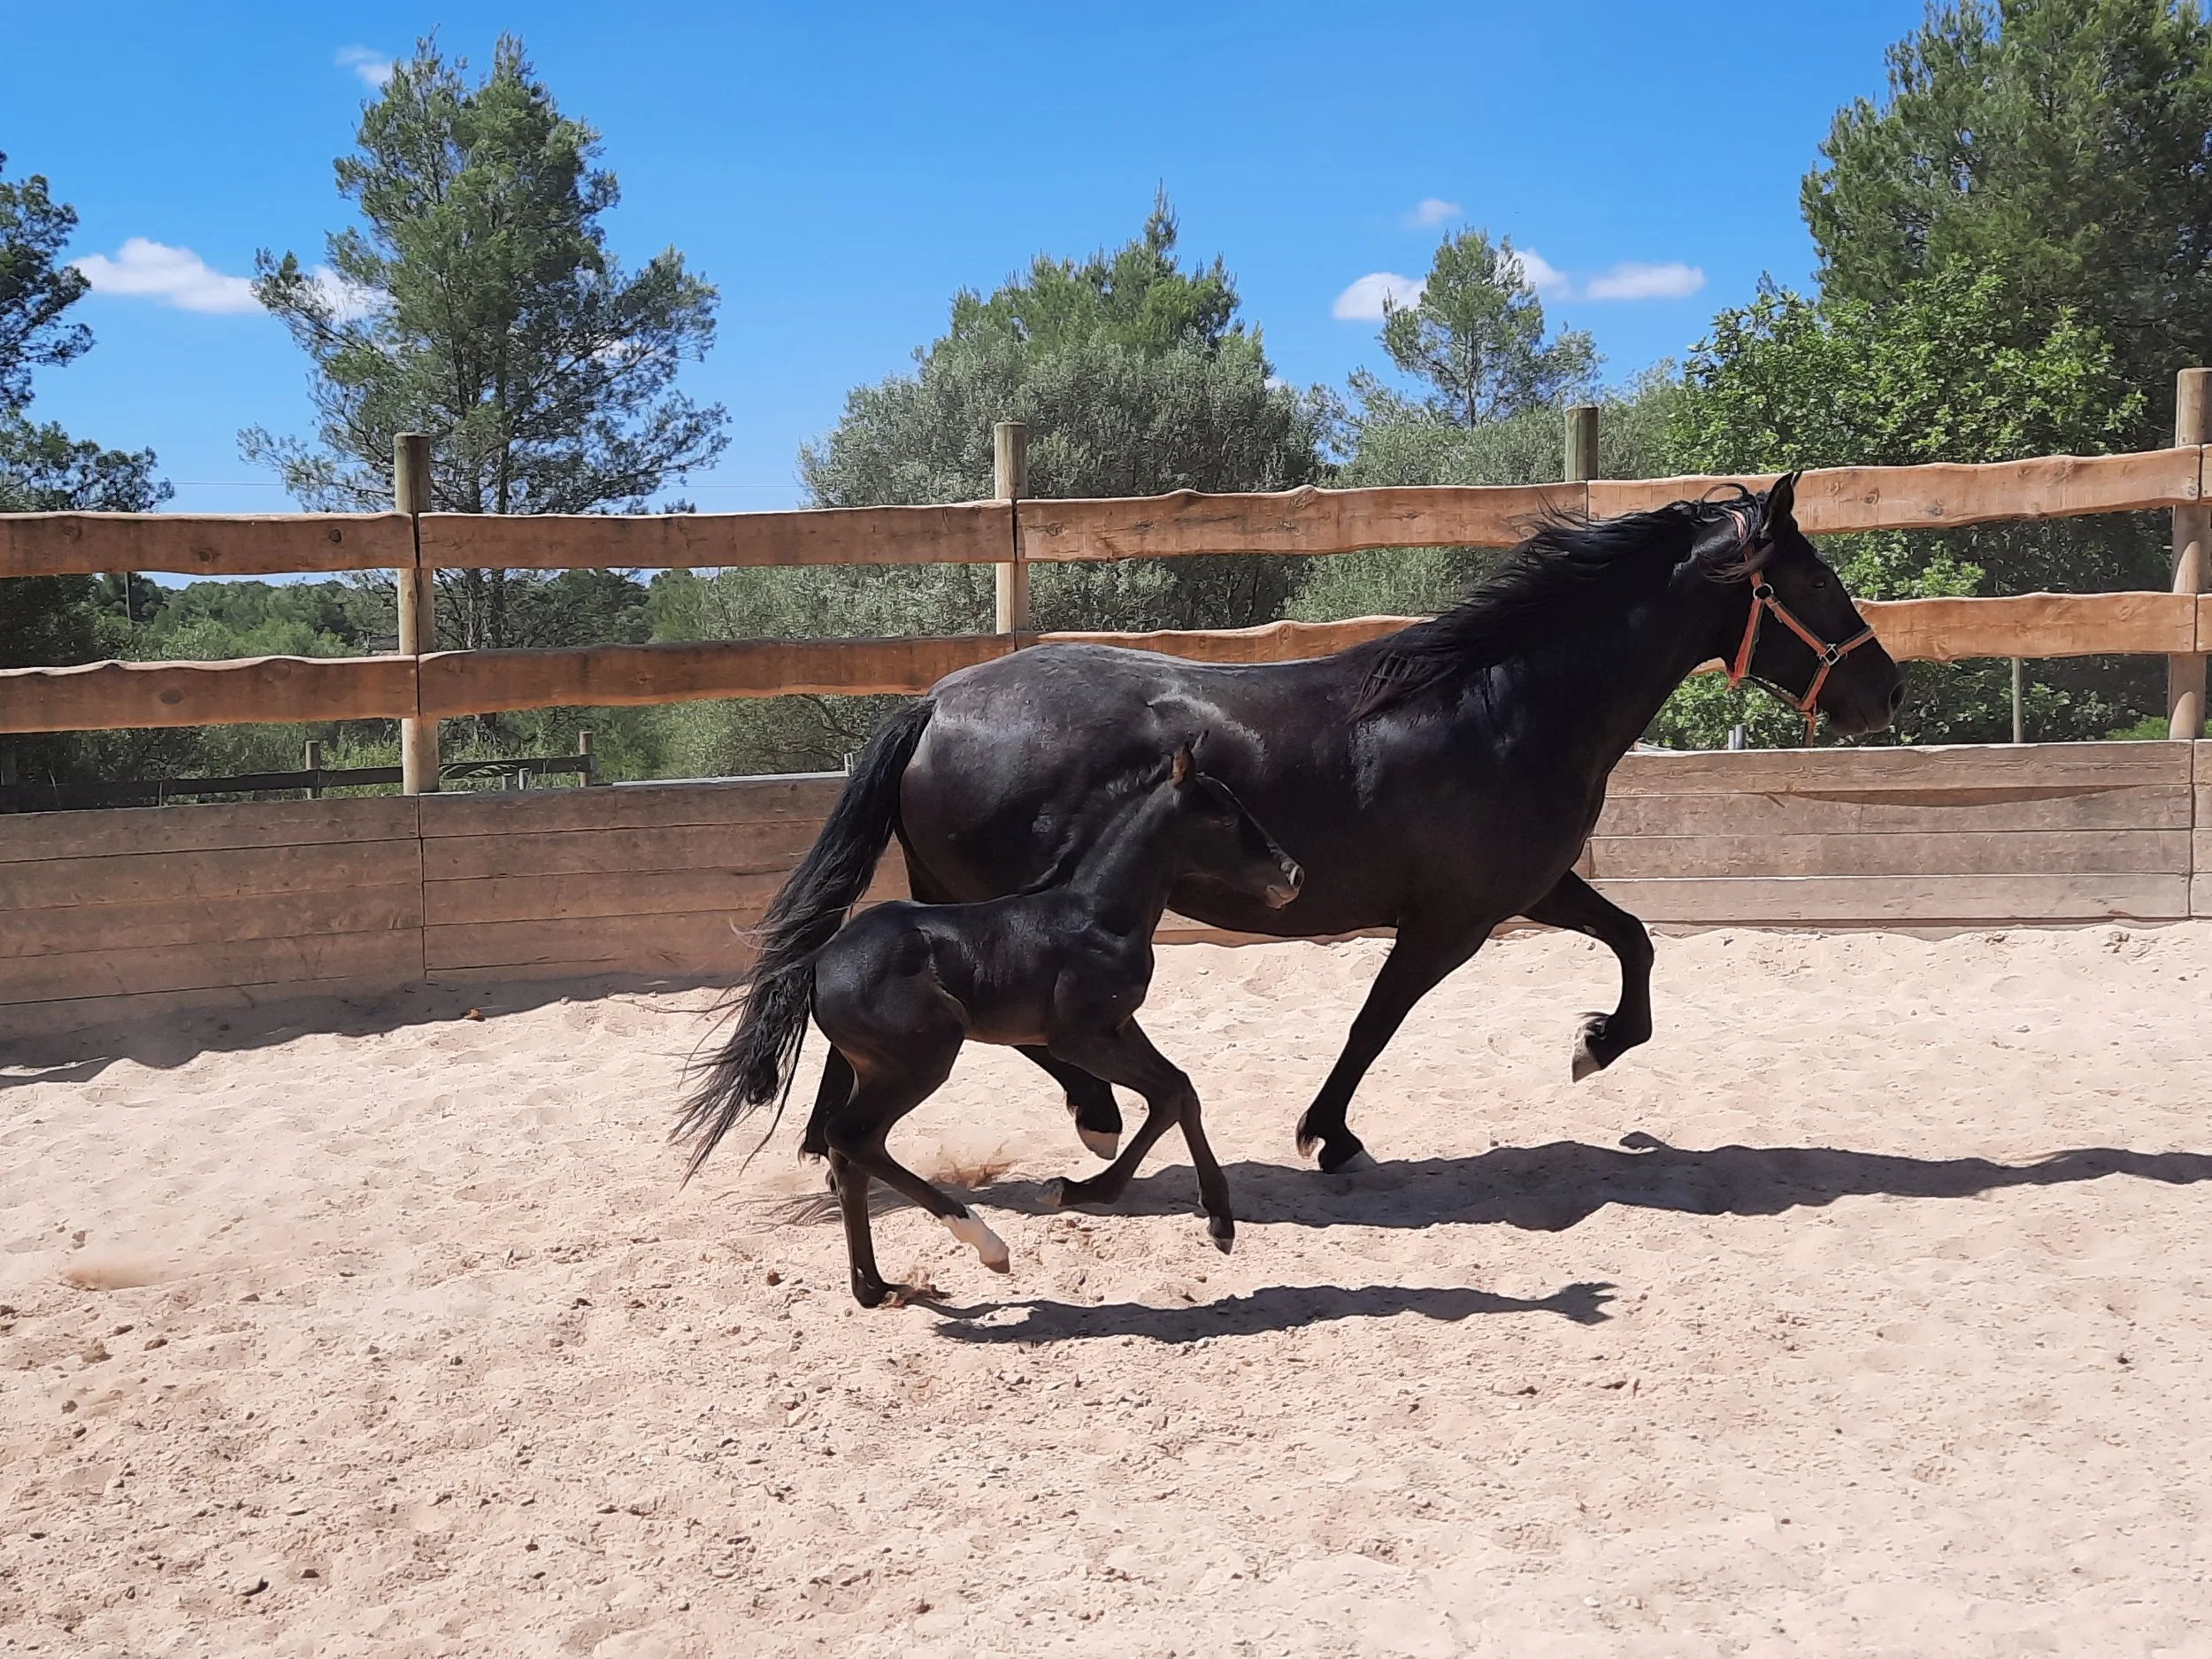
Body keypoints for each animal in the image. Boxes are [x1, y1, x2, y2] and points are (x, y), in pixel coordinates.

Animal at [676, 743, 1302, 1307]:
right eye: (1224, 814)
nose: (1293, 873)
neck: (1098, 917)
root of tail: (818, 961)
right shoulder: (1080, 1040)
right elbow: (1169, 1091)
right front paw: (1080, 1190)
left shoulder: (1120, 1027)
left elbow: (1180, 1092)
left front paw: (1217, 1222)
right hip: (923, 1060)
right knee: (852, 1138)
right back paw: (985, 1244)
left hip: (875, 1069)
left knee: (849, 1155)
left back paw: (878, 1288)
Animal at [685, 475, 1904, 1188]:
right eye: (1813, 580)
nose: (1883, 688)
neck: (1504, 704)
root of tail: (937, 702)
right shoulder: (1453, 920)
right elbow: (1375, 1025)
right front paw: (1331, 1135)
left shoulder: (1529, 890)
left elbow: (1637, 942)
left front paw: (1596, 1045)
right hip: (998, 910)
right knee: (1019, 1033)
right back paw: (1089, 1122)